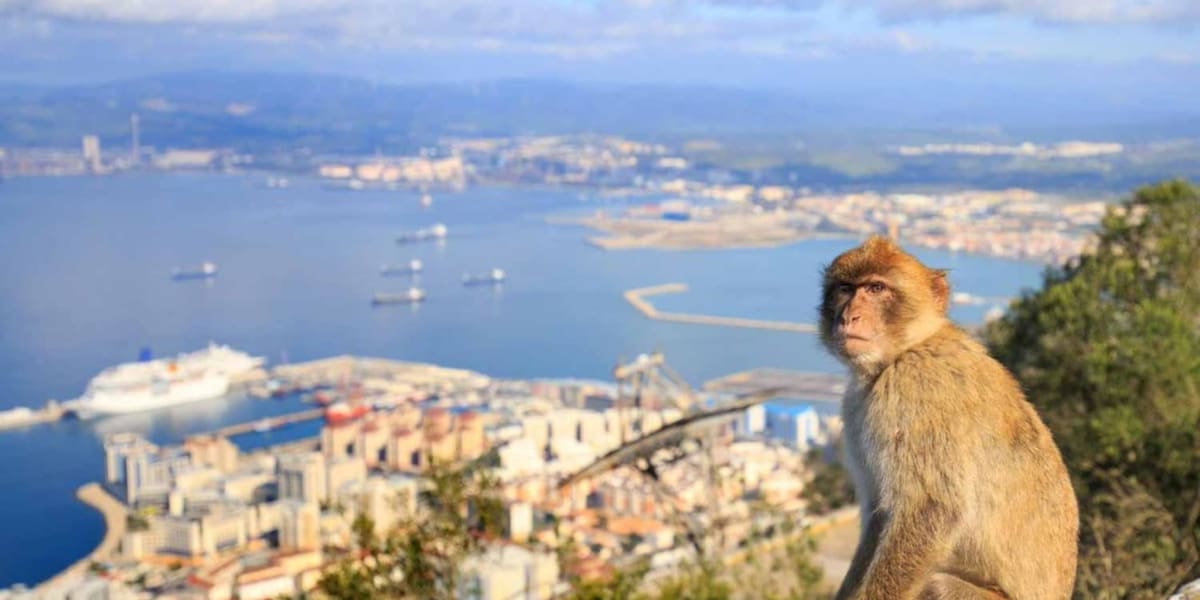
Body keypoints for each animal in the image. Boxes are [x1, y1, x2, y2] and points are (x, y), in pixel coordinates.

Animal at [819, 236, 1078, 600]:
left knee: (936, 585)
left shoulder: (916, 388)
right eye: (845, 288)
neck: (908, 348)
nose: (848, 317)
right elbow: (881, 513)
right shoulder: (857, 407)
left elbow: (931, 509)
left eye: (876, 288)